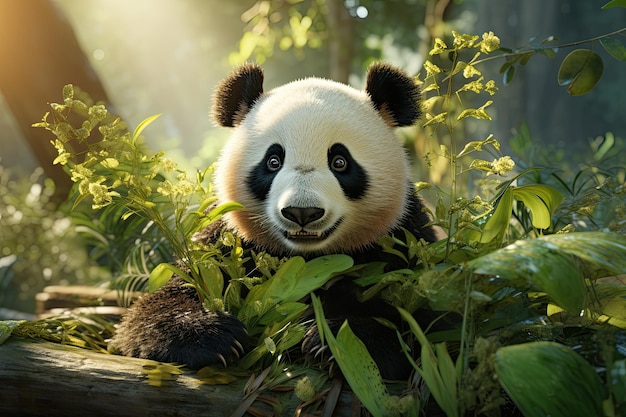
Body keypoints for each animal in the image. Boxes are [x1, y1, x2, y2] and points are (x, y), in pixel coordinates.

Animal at [108, 62, 434, 380]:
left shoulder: (403, 235)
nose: (302, 212)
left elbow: (422, 321)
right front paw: (210, 336)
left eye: (340, 162)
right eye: (273, 161)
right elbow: (156, 305)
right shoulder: (227, 239)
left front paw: (336, 342)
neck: (308, 259)